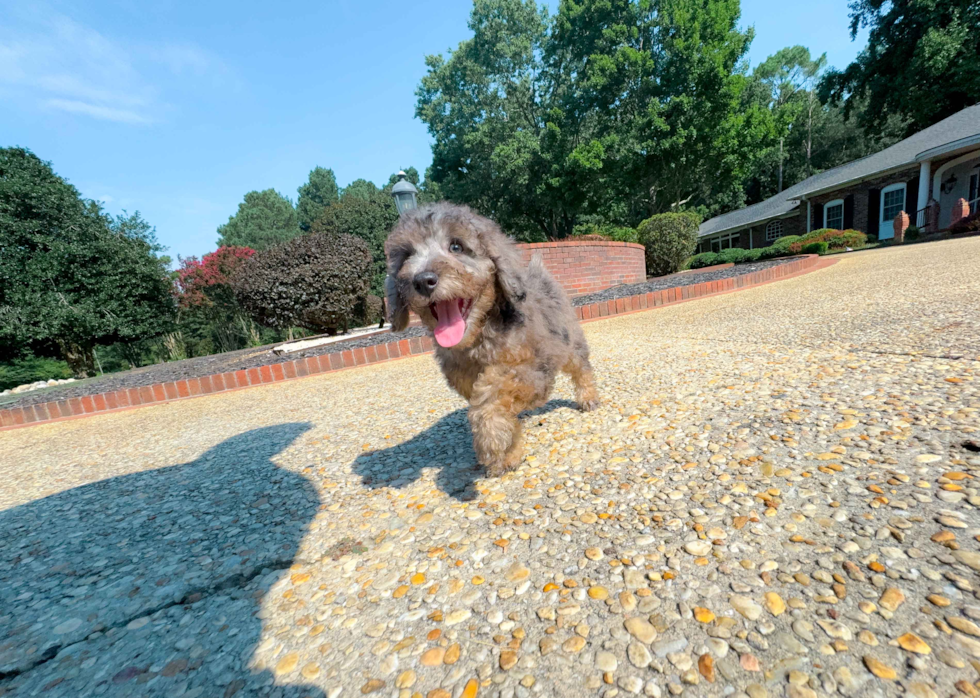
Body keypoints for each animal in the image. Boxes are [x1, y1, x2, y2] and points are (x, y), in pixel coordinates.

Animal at [382, 201, 596, 474]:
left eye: (456, 246)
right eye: (407, 255)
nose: (422, 280)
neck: (478, 337)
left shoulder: (534, 369)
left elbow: (493, 389)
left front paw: (492, 438)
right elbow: (494, 400)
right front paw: (508, 450)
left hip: (568, 340)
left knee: (582, 368)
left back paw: (588, 398)